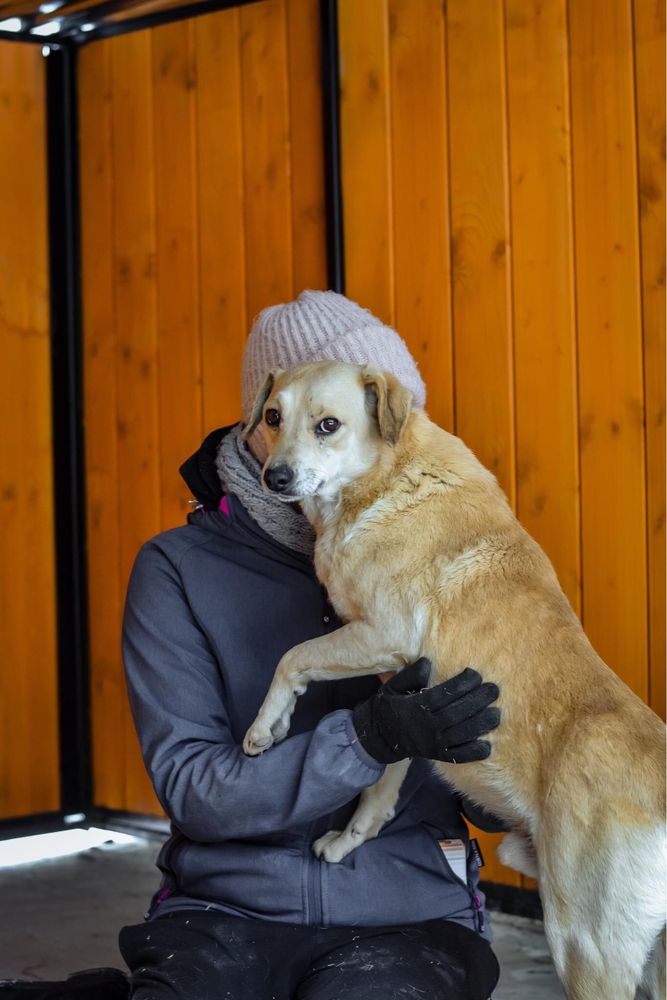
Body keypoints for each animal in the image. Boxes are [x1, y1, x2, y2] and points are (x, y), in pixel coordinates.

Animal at [243, 362, 664, 1000]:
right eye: (273, 415)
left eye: (328, 425)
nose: (277, 477)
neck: (388, 478)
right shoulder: (404, 698)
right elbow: (383, 770)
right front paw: (353, 836)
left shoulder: (384, 634)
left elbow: (292, 658)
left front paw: (266, 726)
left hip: (582, 945)